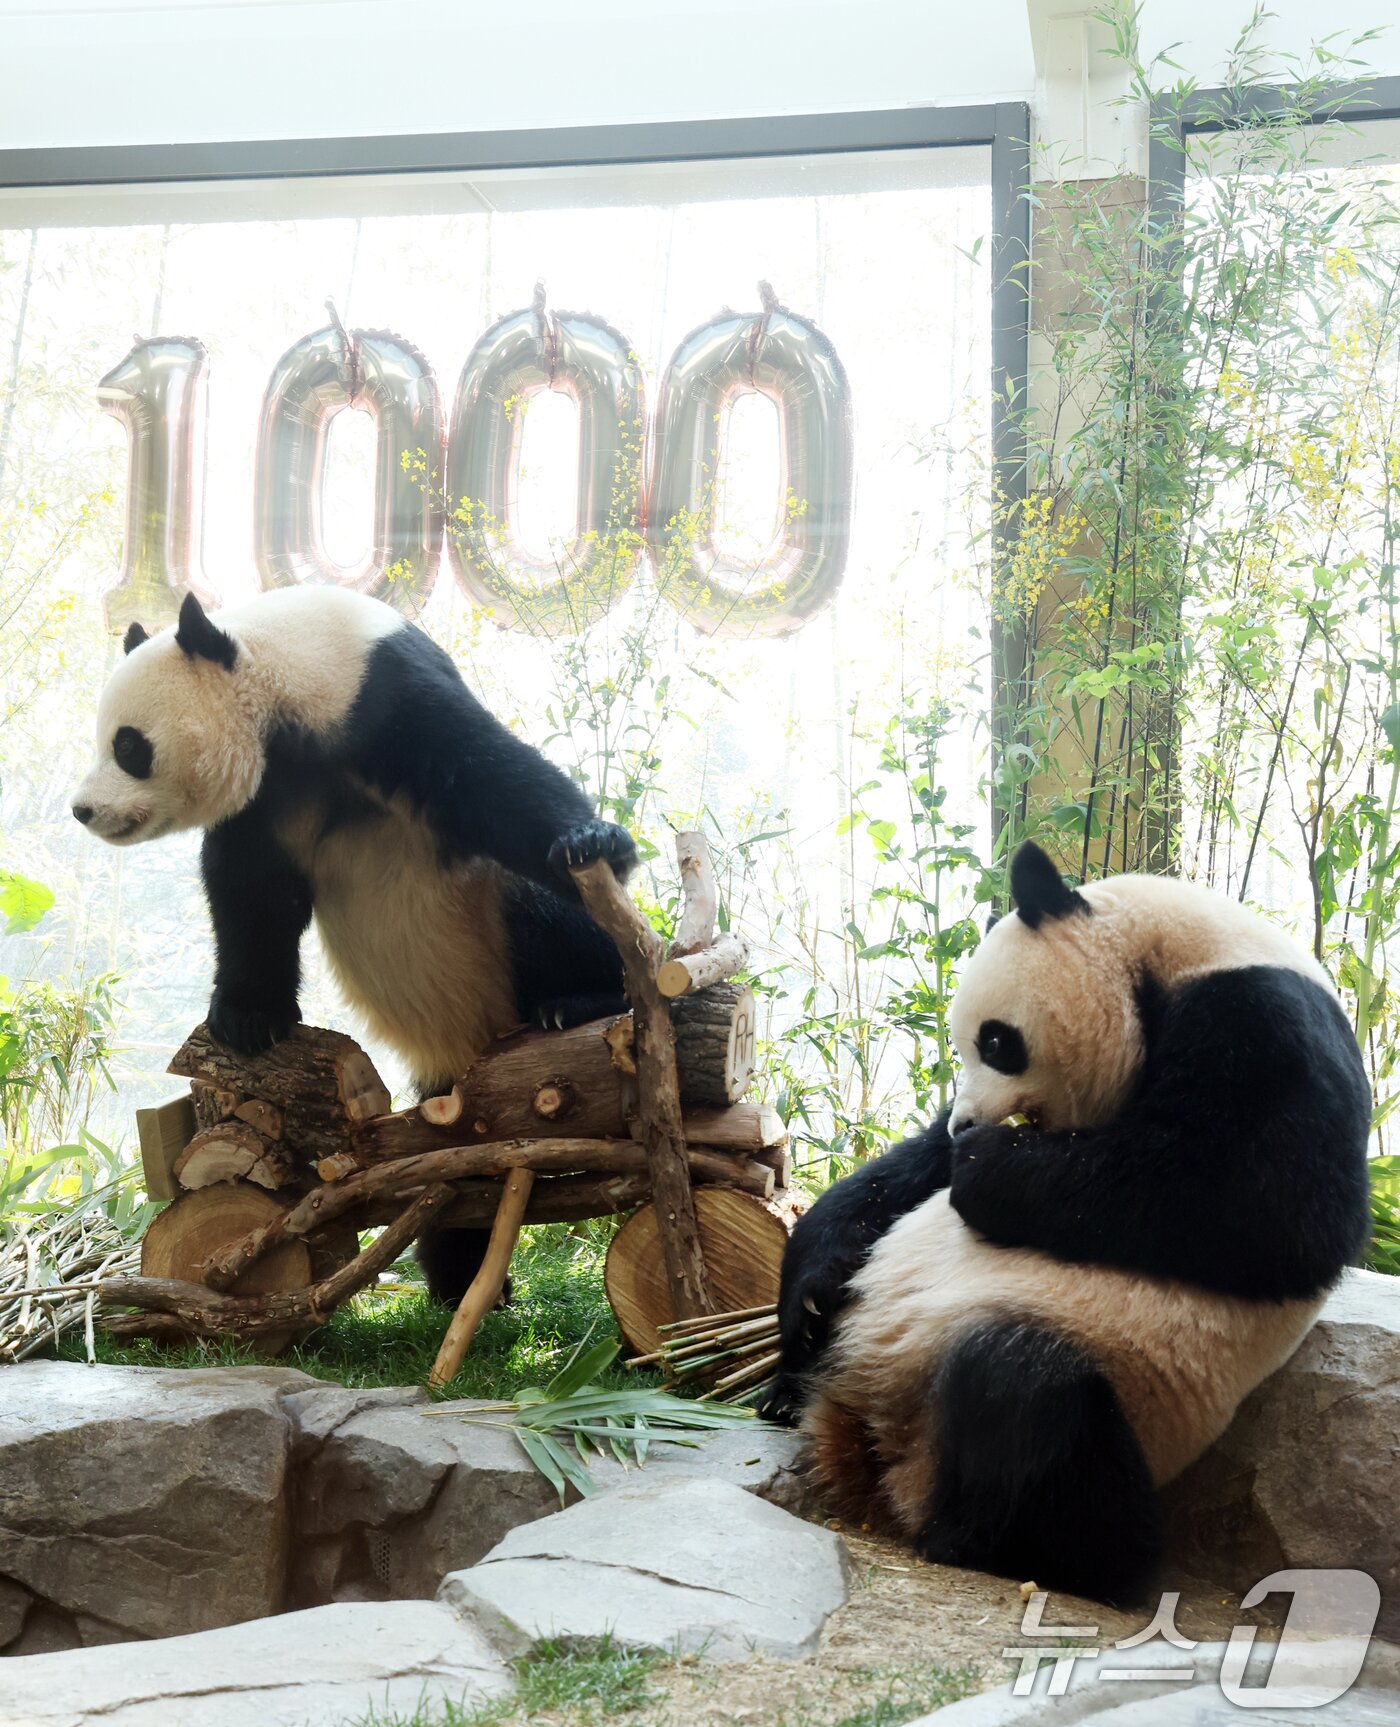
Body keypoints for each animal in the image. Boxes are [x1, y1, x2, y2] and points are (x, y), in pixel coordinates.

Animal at [71, 587, 636, 1304]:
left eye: (129, 746)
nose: (83, 809)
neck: (277, 672)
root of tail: (477, 1044)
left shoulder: (382, 694)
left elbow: (494, 781)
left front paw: (594, 840)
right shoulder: (265, 795)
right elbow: (252, 895)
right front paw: (247, 1020)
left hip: (500, 927)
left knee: (540, 906)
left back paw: (578, 1001)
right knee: (452, 1184)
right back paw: (463, 1277)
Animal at [756, 840, 1371, 1605]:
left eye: (996, 1040)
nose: (966, 1123)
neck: (1170, 955)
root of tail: (876, 1443)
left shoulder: (1267, 1025)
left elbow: (1277, 1210)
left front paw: (986, 1168)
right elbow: (902, 1174)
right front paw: (811, 1288)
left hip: (1123, 1393)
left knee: (1025, 1389)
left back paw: (1028, 1548)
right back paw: (788, 1390)